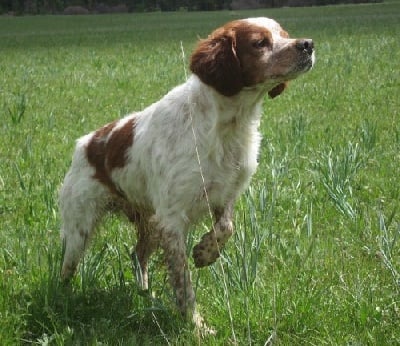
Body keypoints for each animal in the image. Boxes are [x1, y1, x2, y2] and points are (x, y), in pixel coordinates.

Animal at [60, 17, 316, 328]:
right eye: (259, 43)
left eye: (284, 34)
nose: (308, 44)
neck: (227, 126)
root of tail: (84, 143)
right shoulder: (172, 220)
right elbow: (183, 281)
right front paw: (195, 325)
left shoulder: (224, 194)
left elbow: (226, 227)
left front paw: (206, 253)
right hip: (80, 230)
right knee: (66, 269)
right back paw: (62, 300)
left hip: (150, 222)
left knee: (137, 254)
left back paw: (145, 294)